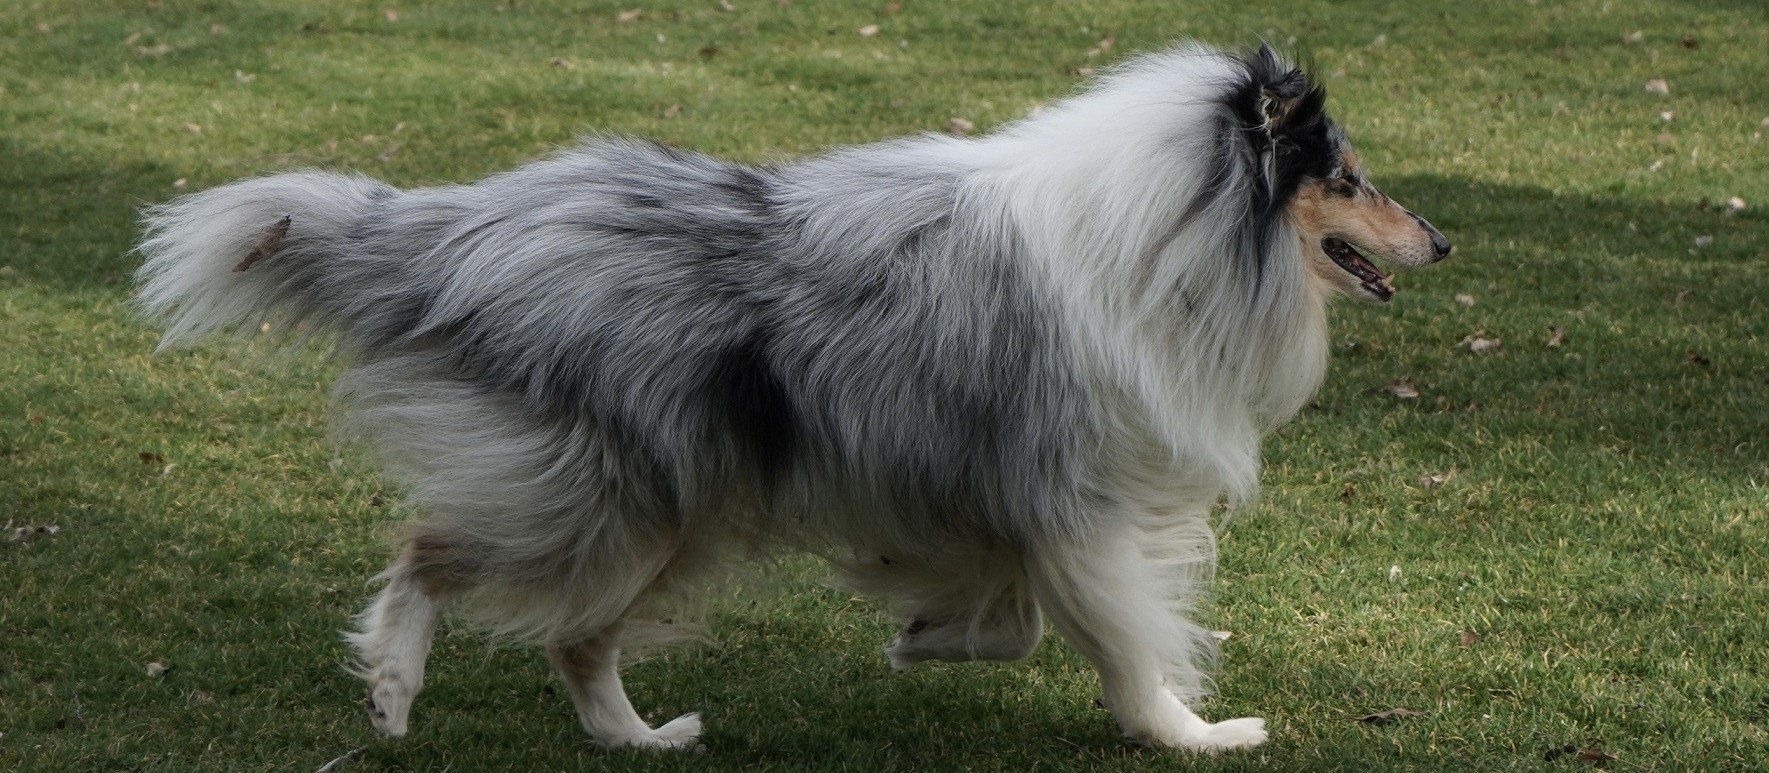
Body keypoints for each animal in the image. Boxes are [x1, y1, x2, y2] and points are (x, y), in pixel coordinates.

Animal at [134, 40, 1450, 746]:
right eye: (1344, 176)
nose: (1438, 239)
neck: (1175, 232)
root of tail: (467, 230)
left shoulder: (1004, 500)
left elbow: (1012, 616)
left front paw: (926, 635)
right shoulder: (1081, 505)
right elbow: (1125, 643)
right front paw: (1193, 730)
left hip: (675, 509)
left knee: (571, 638)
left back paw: (637, 738)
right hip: (617, 500)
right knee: (432, 557)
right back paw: (395, 691)